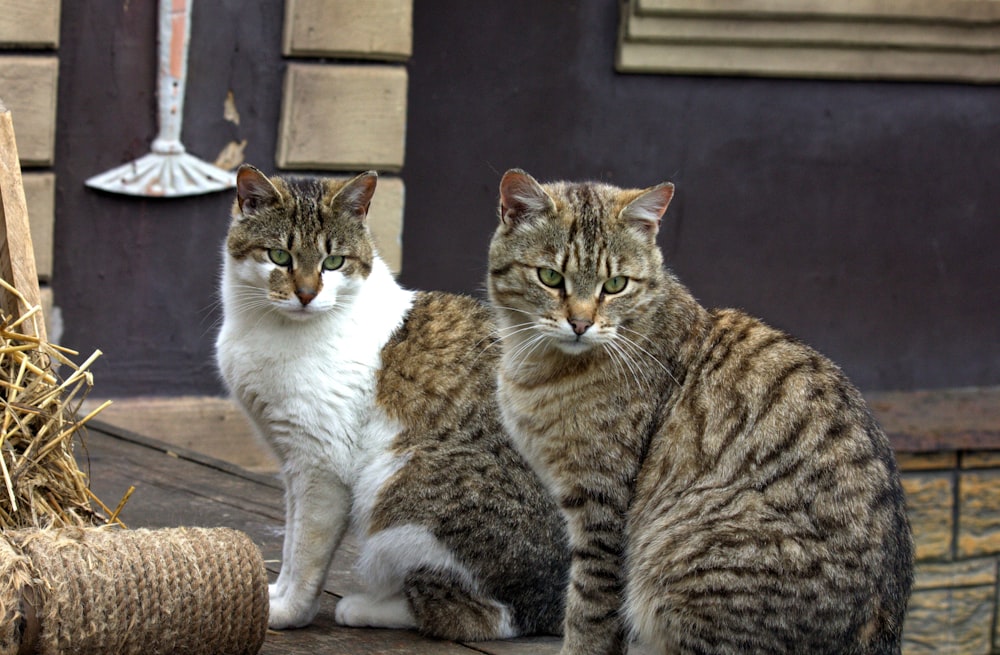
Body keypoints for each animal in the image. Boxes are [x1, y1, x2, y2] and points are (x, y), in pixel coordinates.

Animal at [214, 165, 568, 640]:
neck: (272, 328)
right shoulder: (292, 462)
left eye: (333, 262)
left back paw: (367, 607)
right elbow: (289, 546)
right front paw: (276, 594)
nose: (306, 294)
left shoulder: (320, 465)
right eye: (279, 256)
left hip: (398, 495)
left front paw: (287, 612)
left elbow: (305, 553)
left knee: (479, 616)